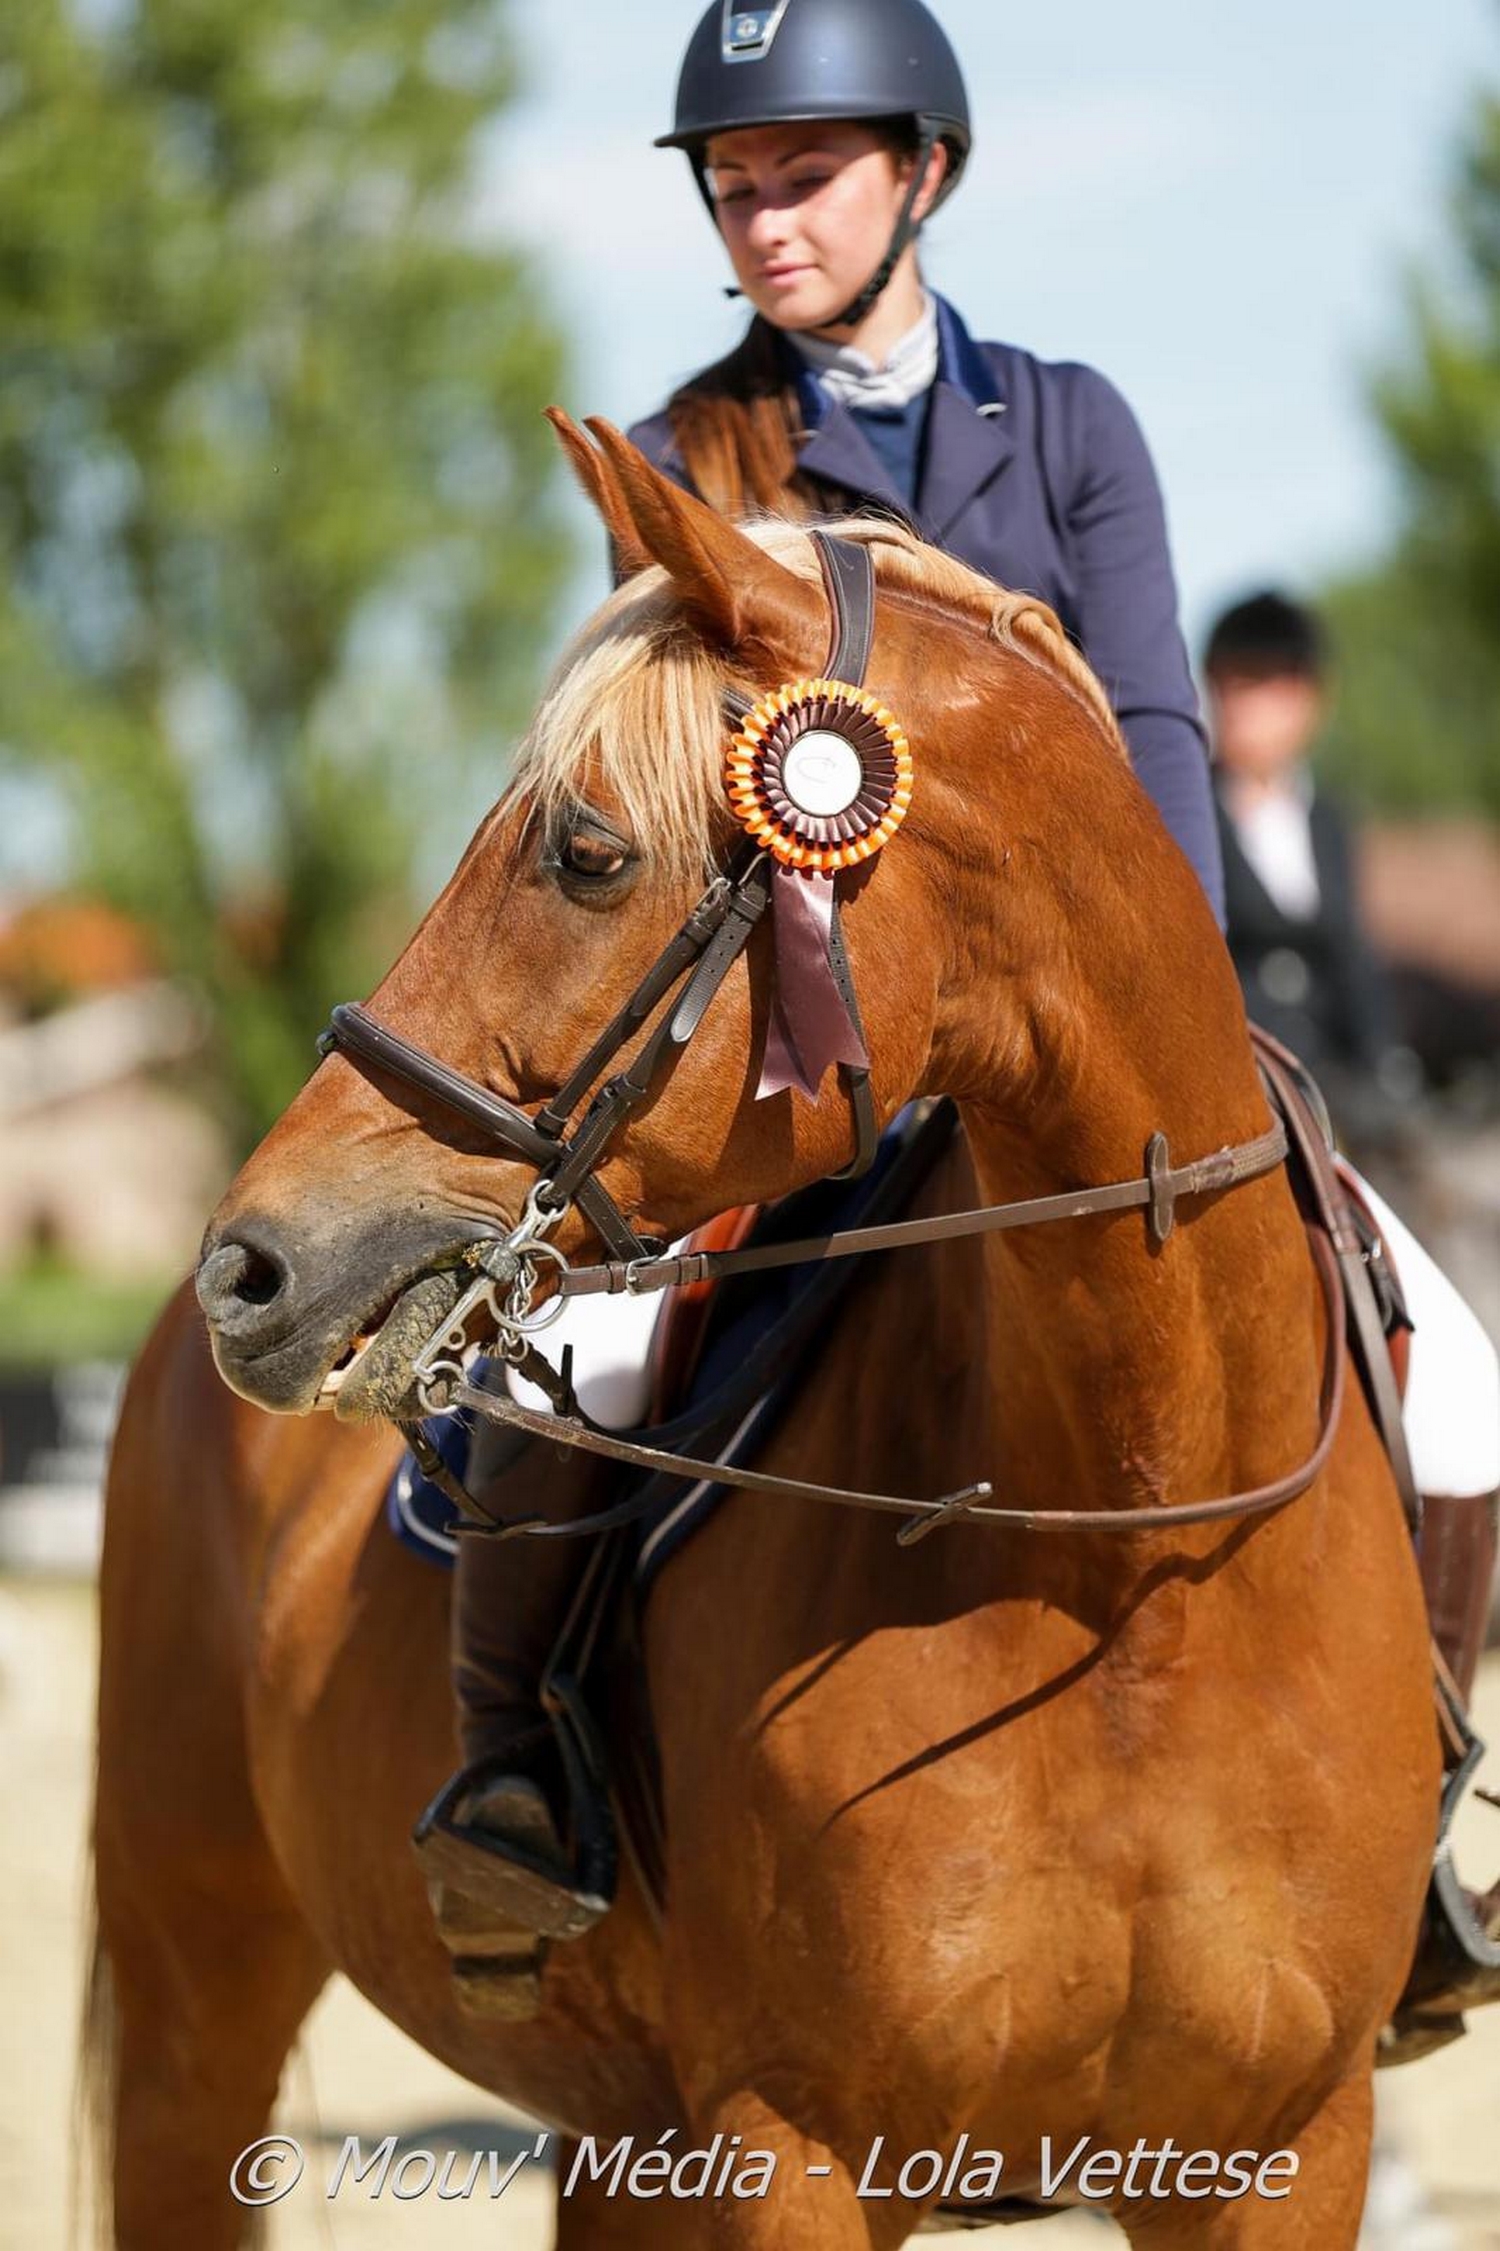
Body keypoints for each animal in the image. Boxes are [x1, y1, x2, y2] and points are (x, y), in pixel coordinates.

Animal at [88, 414, 1438, 2249]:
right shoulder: (788, 2139)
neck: (1131, 1557)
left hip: (614, 2132)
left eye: (586, 850)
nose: (253, 1266)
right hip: (194, 1987)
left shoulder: (1286, 2144)